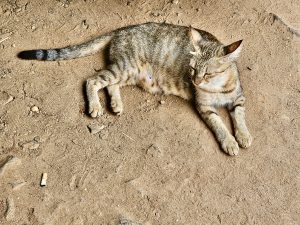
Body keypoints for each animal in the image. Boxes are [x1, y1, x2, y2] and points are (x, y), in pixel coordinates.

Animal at [18, 22, 253, 156]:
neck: (218, 88)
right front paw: (230, 142)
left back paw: (116, 104)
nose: (195, 82)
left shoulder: (239, 99)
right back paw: (95, 106)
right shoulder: (204, 106)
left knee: (110, 85)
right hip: (125, 67)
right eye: (193, 69)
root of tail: (121, 30)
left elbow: (240, 117)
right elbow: (219, 125)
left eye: (208, 74)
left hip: (131, 73)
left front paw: (243, 136)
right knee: (92, 80)